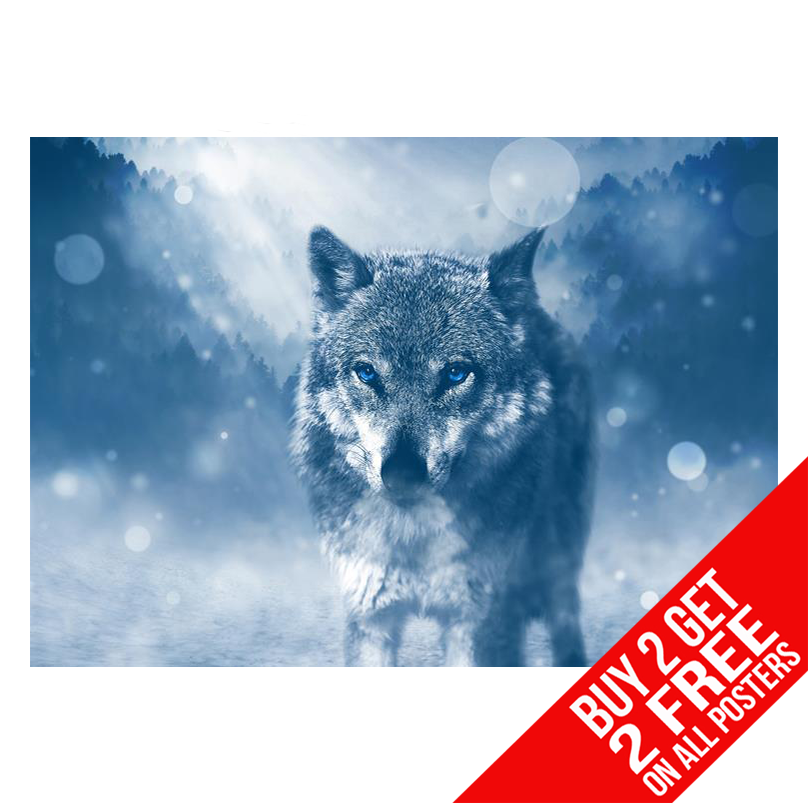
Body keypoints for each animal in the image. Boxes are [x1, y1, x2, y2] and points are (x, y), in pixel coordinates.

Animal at [291, 226, 595, 666]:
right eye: (367, 373)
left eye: (455, 373)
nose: (402, 474)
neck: (414, 538)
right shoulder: (370, 614)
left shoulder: (479, 621)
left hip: (558, 555)